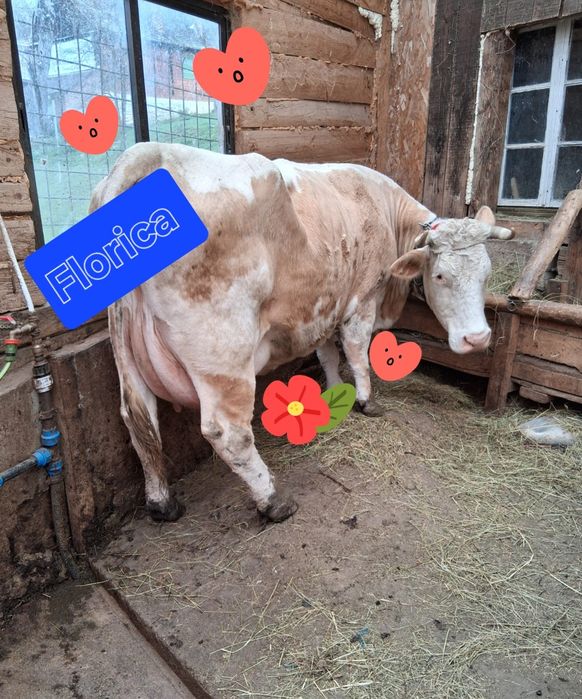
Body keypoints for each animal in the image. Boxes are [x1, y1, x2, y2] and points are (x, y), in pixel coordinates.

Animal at [89, 142, 513, 523]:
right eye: (440, 276)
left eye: (487, 272)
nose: (478, 339)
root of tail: (144, 155)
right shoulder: (362, 298)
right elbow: (357, 353)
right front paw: (366, 400)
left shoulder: (325, 304)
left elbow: (326, 353)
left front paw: (333, 391)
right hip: (223, 351)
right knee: (229, 433)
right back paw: (273, 501)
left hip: (126, 351)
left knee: (138, 419)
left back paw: (162, 503)